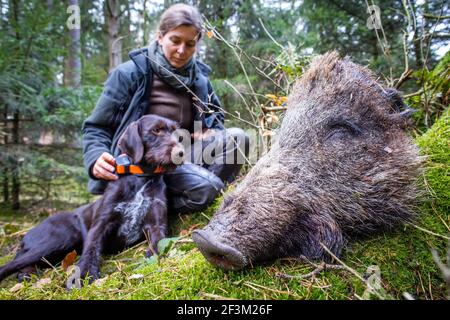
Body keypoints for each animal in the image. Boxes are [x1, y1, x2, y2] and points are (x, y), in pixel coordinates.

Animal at [0, 114, 185, 282]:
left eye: (177, 134)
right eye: (156, 130)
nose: (180, 153)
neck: (142, 178)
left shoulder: (156, 224)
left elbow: (160, 242)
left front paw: (152, 256)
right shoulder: (101, 224)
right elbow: (92, 247)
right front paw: (84, 272)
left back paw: (27, 273)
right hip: (60, 238)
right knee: (14, 262)